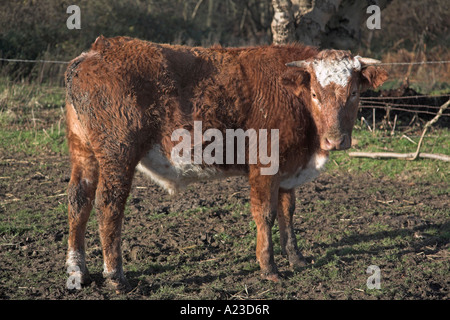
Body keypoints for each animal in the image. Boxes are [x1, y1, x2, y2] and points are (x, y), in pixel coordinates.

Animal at [65, 35, 388, 292]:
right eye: (315, 94)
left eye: (354, 93)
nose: (336, 140)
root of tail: (95, 50)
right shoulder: (265, 165)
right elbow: (266, 214)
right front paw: (269, 268)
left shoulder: (288, 169)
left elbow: (288, 212)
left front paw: (296, 258)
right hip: (118, 153)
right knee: (109, 205)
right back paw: (116, 276)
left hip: (84, 151)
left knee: (79, 200)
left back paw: (77, 271)